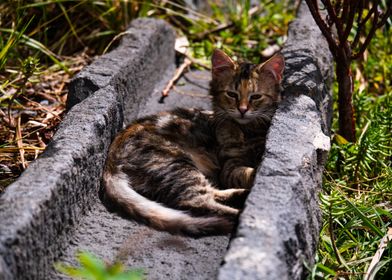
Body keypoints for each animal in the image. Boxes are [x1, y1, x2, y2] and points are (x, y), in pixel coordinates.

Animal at [102, 48, 284, 236]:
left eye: (256, 97)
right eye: (232, 94)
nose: (242, 110)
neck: (248, 130)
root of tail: (112, 153)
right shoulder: (229, 166)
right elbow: (245, 172)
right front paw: (257, 171)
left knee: (210, 193)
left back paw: (241, 195)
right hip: (177, 164)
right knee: (198, 203)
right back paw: (243, 217)